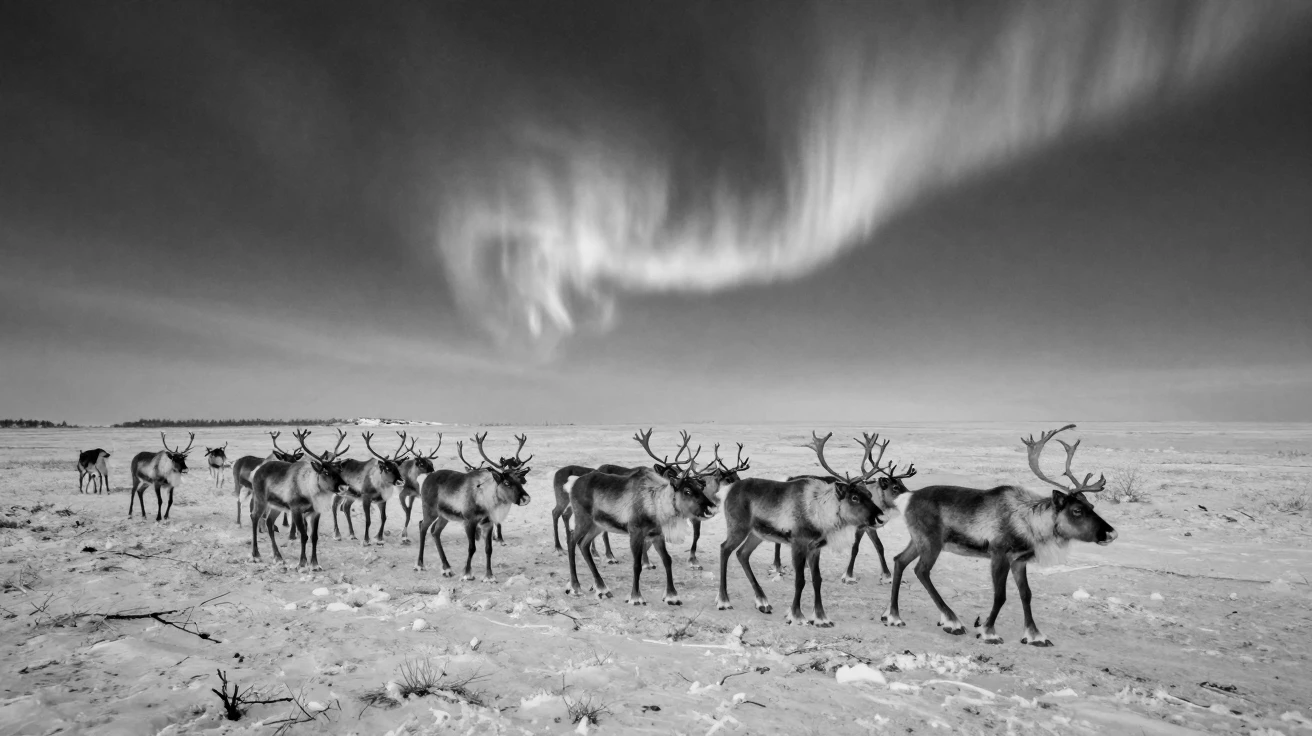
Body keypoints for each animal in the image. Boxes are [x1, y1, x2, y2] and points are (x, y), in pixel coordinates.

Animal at [248, 429, 358, 571]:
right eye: (326, 472)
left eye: (339, 471)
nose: (344, 487)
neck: (309, 491)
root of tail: (257, 469)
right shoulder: (296, 510)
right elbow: (304, 536)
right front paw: (302, 563)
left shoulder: (315, 512)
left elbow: (314, 537)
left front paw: (315, 564)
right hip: (260, 499)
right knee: (254, 517)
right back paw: (256, 555)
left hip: (276, 506)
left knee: (269, 522)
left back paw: (278, 558)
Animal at [413, 433, 532, 581]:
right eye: (506, 483)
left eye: (519, 481)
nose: (526, 498)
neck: (487, 499)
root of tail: (428, 477)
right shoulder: (470, 521)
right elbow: (472, 548)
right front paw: (467, 573)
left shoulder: (488, 524)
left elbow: (489, 549)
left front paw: (489, 576)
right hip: (429, 510)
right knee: (422, 526)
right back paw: (420, 565)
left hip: (444, 516)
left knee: (435, 532)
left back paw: (447, 568)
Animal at [564, 429, 716, 606]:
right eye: (687, 491)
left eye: (700, 487)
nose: (711, 507)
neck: (656, 505)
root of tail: (573, 483)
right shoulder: (635, 532)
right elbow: (637, 564)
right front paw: (636, 597)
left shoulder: (657, 534)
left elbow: (667, 560)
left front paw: (672, 596)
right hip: (583, 519)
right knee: (572, 541)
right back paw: (575, 586)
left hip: (598, 525)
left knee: (583, 545)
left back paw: (602, 588)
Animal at [716, 432, 886, 627]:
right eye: (854, 497)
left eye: (869, 494)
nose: (880, 517)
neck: (820, 512)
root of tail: (729, 489)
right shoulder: (798, 543)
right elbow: (800, 580)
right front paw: (796, 615)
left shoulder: (815, 548)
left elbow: (817, 579)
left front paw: (821, 617)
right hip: (738, 527)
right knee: (724, 549)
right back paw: (724, 601)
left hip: (756, 534)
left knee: (742, 554)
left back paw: (763, 602)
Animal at [881, 424, 1117, 646]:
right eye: (1076, 510)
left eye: (1091, 505)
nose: (1111, 533)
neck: (1030, 523)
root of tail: (907, 498)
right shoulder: (999, 554)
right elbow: (1000, 596)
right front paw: (988, 632)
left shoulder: (1019, 561)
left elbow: (1026, 594)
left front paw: (1035, 636)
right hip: (931, 541)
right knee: (921, 570)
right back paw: (952, 621)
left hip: (917, 539)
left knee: (899, 560)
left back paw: (893, 616)